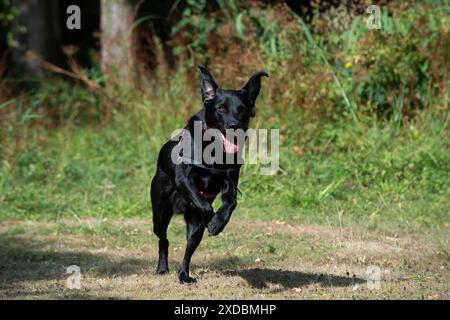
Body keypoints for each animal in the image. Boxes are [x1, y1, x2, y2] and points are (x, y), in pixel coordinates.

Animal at [151, 65, 268, 282]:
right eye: (221, 109)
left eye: (243, 109)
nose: (233, 126)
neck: (214, 151)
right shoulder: (184, 178)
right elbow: (203, 203)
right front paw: (212, 218)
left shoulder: (230, 182)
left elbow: (230, 203)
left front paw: (218, 222)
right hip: (160, 213)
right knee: (163, 239)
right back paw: (163, 267)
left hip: (193, 228)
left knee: (188, 249)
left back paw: (184, 275)